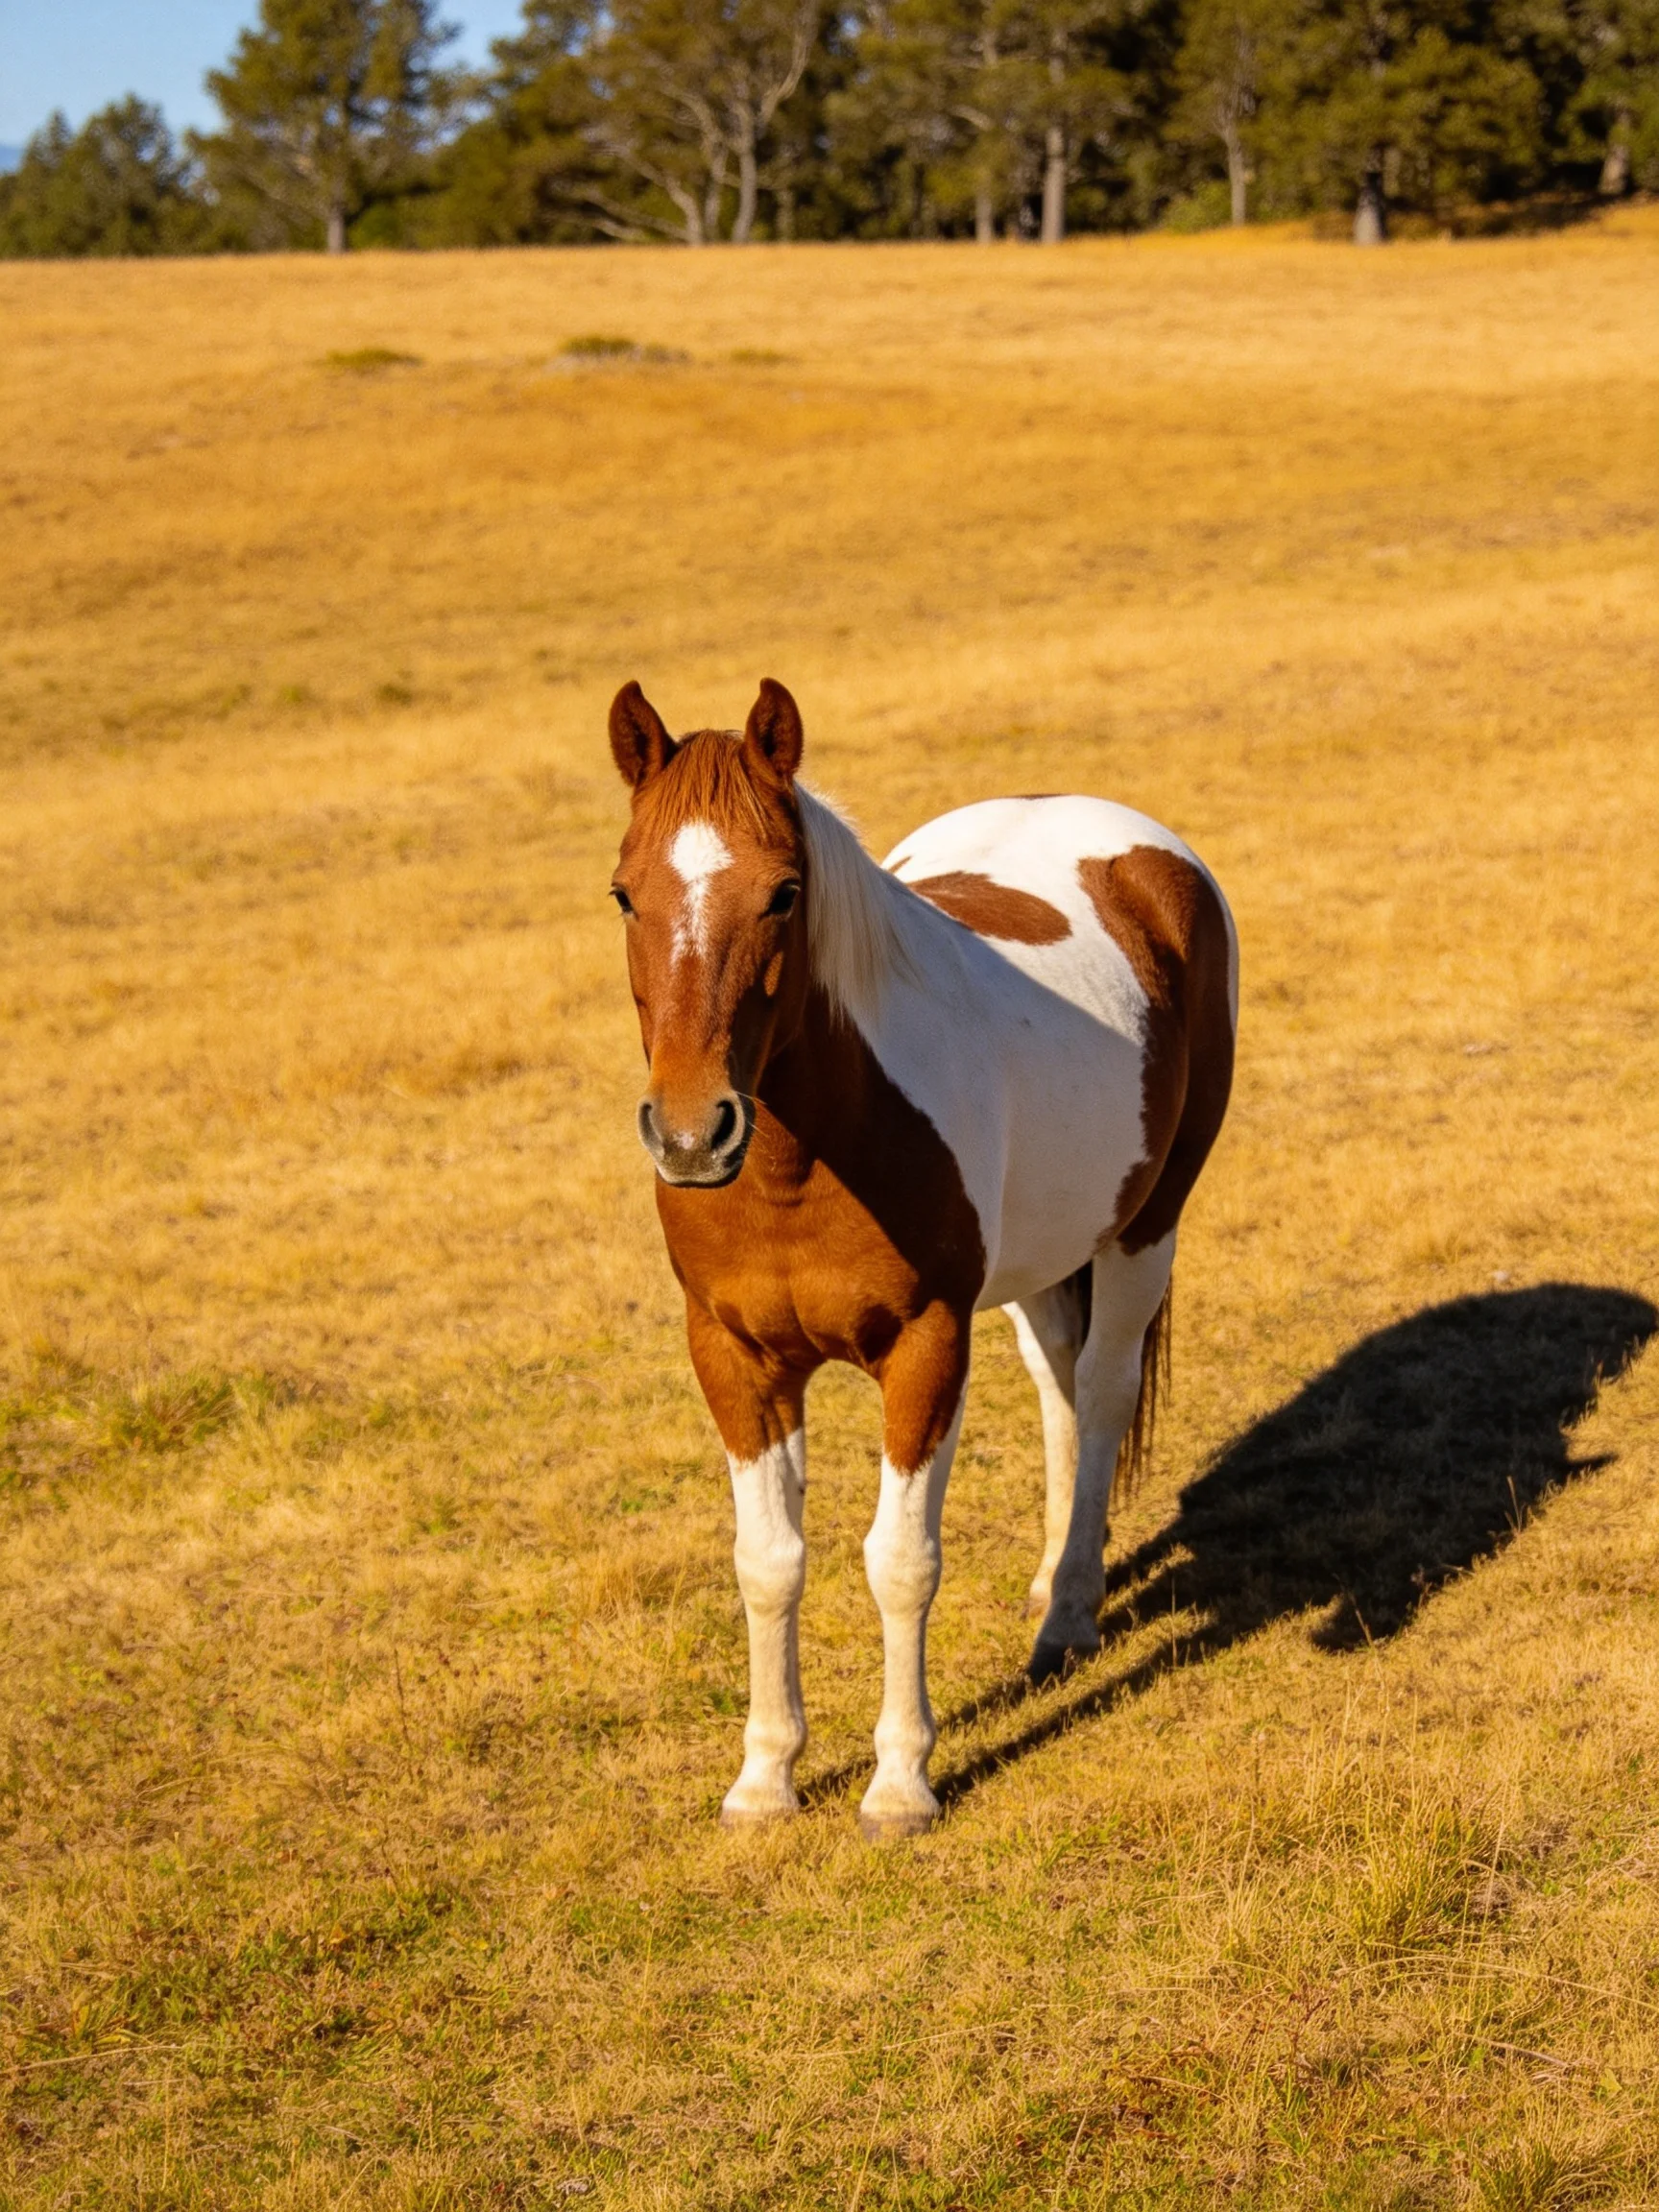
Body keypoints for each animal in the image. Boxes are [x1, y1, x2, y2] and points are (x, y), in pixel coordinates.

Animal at [606, 678, 1238, 1838]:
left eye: (784, 893)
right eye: (626, 895)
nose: (689, 1134)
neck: (809, 1156)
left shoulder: (925, 1346)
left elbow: (899, 1562)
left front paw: (900, 1784)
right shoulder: (735, 1359)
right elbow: (768, 1561)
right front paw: (765, 1778)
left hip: (1144, 1226)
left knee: (1104, 1386)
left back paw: (1069, 1614)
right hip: (1042, 1258)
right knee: (1059, 1386)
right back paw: (1052, 1580)